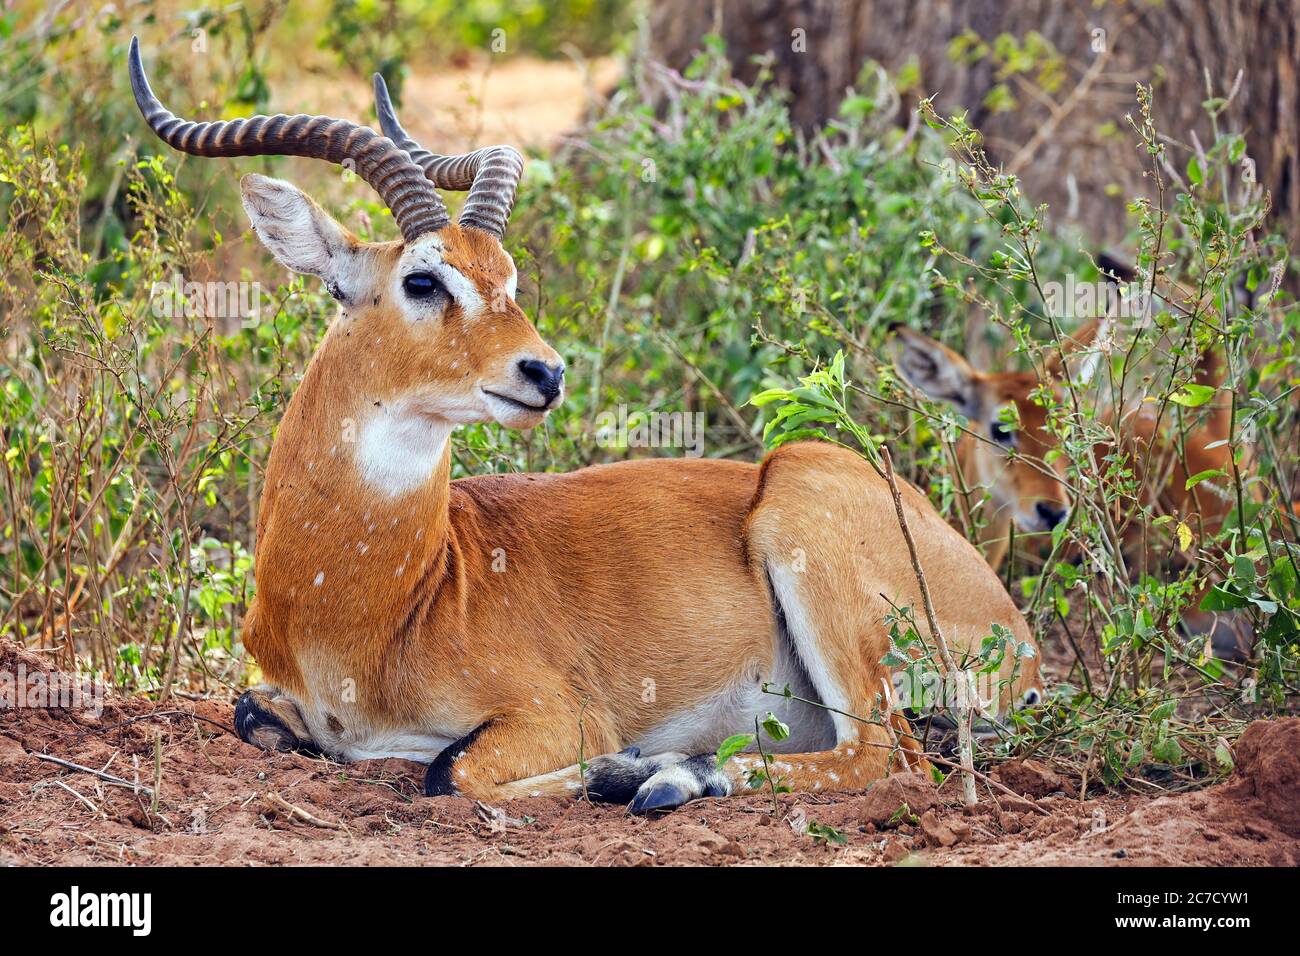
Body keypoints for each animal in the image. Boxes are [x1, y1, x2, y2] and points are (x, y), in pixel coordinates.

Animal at [126, 41, 1040, 811]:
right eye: (424, 279)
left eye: (508, 278)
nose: (545, 372)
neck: (381, 600)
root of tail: (1019, 637)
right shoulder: (272, 693)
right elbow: (253, 713)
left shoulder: (548, 713)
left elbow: (449, 772)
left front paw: (611, 765)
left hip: (806, 526)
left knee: (883, 755)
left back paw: (657, 776)